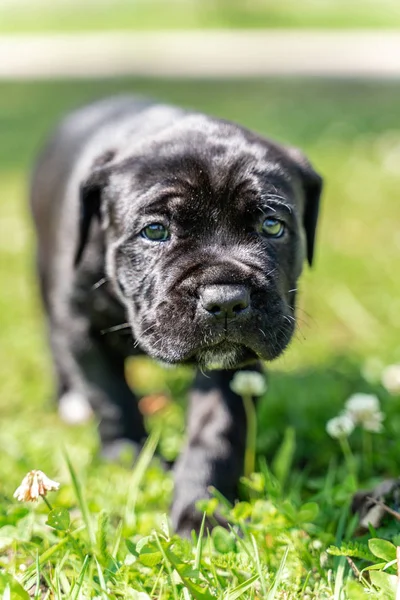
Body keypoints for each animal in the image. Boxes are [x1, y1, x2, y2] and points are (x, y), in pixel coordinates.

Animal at [30, 96, 322, 536]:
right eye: (154, 231)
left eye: (273, 226)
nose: (226, 299)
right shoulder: (79, 327)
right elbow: (111, 398)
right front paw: (132, 459)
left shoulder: (235, 365)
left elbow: (216, 427)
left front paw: (201, 511)